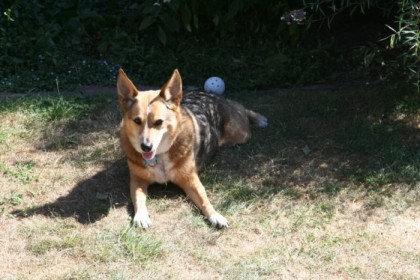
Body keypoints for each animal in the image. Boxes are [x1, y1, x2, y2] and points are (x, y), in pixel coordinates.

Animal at [116, 69, 268, 229]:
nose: (145, 147)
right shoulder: (137, 180)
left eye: (159, 122)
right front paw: (141, 216)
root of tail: (211, 94)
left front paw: (215, 215)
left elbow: (204, 199)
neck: (160, 155)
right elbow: (138, 197)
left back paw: (257, 117)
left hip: (241, 134)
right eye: (137, 121)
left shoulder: (190, 179)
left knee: (239, 106)